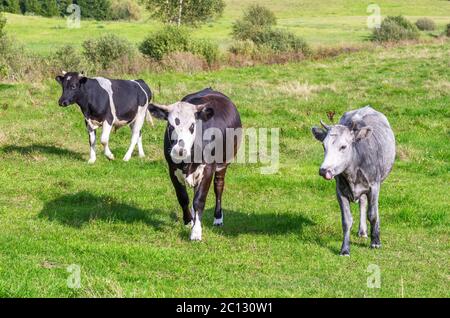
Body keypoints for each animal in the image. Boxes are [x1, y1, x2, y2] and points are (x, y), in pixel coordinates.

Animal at [149, 88, 243, 240]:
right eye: (170, 126)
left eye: (192, 125)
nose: (179, 150)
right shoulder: (172, 169)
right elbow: (183, 197)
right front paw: (189, 221)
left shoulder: (208, 169)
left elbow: (199, 200)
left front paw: (196, 232)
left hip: (223, 164)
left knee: (219, 187)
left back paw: (218, 218)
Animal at [312, 106, 396, 256]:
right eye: (324, 146)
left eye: (343, 146)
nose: (324, 170)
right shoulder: (340, 191)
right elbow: (346, 220)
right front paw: (345, 249)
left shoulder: (374, 186)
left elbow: (373, 214)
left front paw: (376, 242)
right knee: (362, 201)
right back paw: (362, 231)